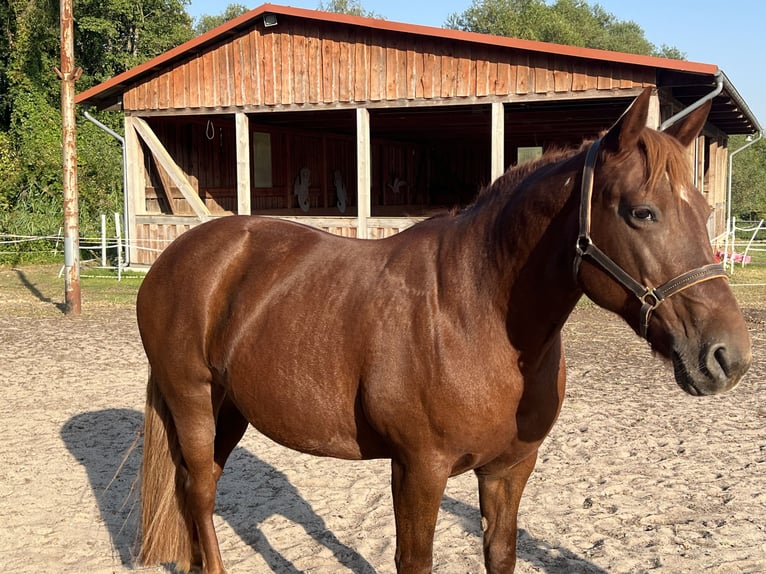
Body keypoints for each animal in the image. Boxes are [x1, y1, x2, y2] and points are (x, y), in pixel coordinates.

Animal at [135, 86, 752, 574]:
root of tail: (179, 255)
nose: (728, 356)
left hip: (231, 408)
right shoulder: (419, 471)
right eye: (642, 212)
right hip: (193, 400)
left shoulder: (509, 470)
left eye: (703, 209)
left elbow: (500, 553)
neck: (475, 316)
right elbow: (415, 560)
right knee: (200, 491)